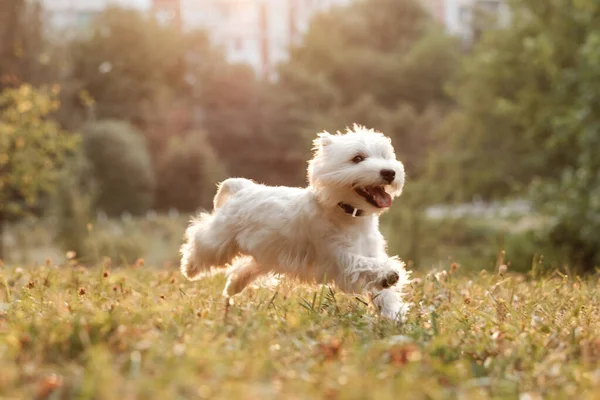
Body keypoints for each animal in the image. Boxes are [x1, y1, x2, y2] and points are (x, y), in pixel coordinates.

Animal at [180, 126, 410, 320]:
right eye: (358, 158)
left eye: (385, 156)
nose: (390, 172)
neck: (349, 215)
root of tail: (242, 188)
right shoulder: (338, 256)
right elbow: (364, 265)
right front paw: (389, 274)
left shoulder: (370, 251)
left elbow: (382, 290)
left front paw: (394, 315)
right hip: (222, 238)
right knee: (200, 238)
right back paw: (189, 269)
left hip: (265, 253)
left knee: (245, 267)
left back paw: (233, 287)